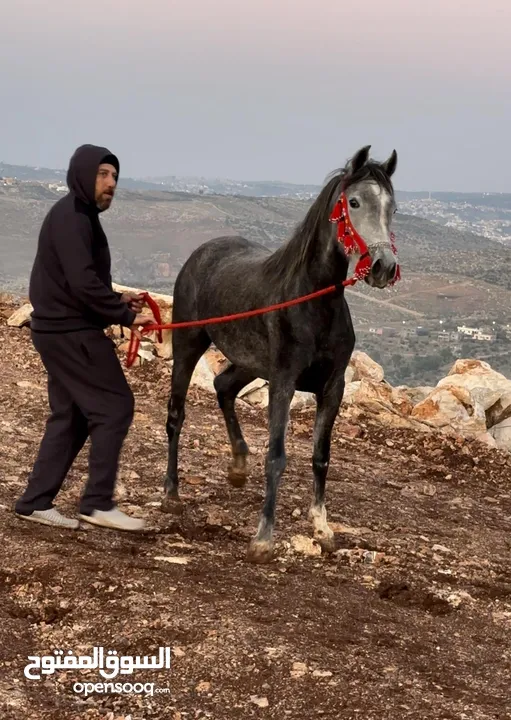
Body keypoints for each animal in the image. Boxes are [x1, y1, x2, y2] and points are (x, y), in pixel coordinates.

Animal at [163, 145, 400, 564]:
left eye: (392, 207)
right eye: (354, 202)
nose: (383, 267)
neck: (313, 303)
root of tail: (203, 251)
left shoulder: (331, 387)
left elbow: (321, 457)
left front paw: (322, 529)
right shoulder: (284, 383)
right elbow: (276, 457)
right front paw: (263, 539)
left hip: (250, 364)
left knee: (224, 386)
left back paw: (238, 465)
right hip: (188, 345)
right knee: (177, 414)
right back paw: (172, 492)